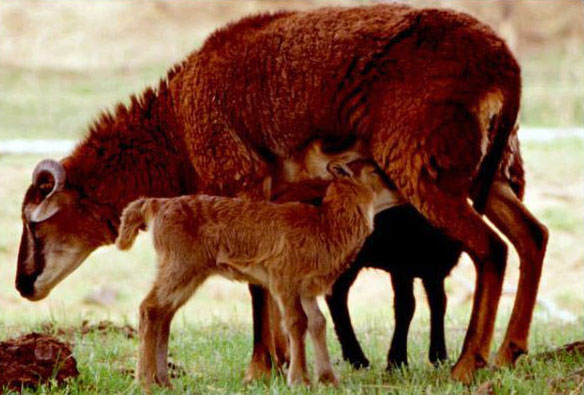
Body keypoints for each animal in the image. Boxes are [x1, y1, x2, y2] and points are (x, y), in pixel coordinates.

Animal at [14, 6, 548, 384]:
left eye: (35, 221)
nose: (22, 285)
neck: (176, 127)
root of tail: (507, 63)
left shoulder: (241, 181)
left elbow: (255, 286)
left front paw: (261, 367)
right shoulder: (276, 196)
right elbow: (274, 285)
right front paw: (286, 359)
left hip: (426, 172)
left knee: (491, 249)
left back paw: (468, 364)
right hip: (484, 176)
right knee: (533, 237)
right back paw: (509, 353)